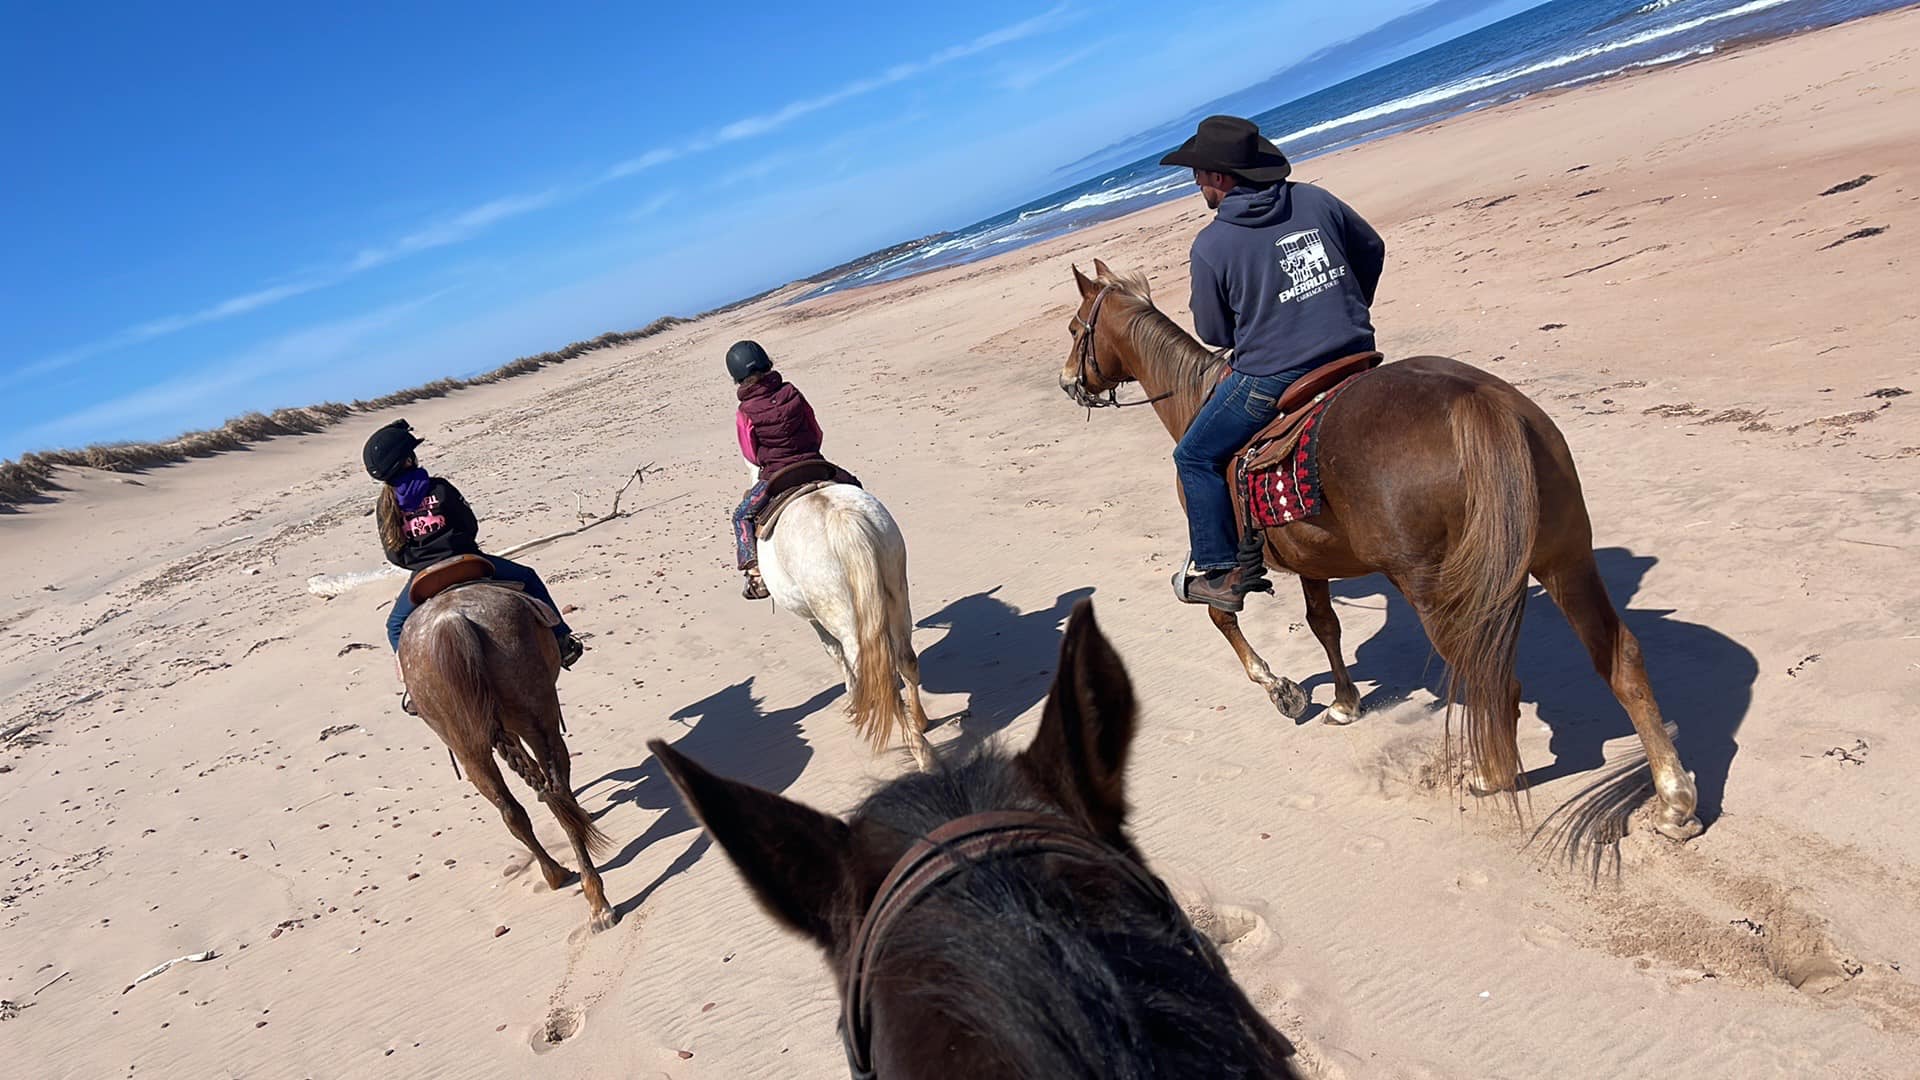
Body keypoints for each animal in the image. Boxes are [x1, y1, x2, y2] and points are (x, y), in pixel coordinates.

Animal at [399, 568, 614, 930]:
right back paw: (597, 900)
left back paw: (555, 873)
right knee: (558, 792)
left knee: (512, 811)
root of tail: (452, 621)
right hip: (539, 717)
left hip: (469, 747)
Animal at [1059, 261, 1704, 841]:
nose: (1069, 382)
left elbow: (1223, 614)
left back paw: (1492, 776)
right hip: (1566, 558)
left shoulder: (1221, 556)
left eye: (1073, 328)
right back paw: (1675, 800)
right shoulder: (1312, 563)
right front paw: (1345, 702)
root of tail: (1478, 401)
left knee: (1493, 680)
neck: (1195, 400)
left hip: (1430, 586)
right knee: (1620, 659)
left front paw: (1282, 689)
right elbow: (1324, 625)